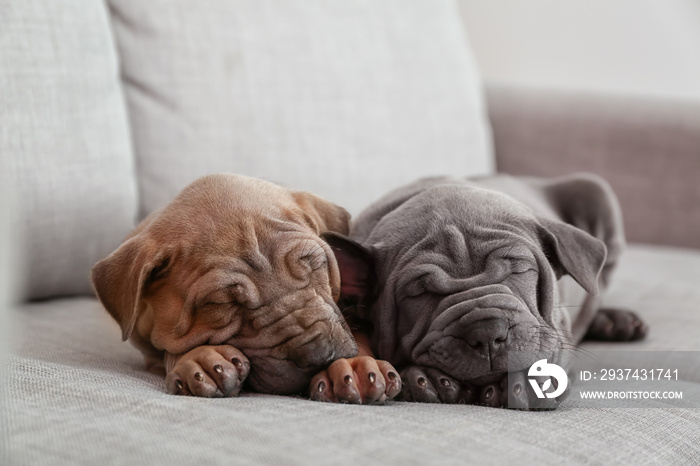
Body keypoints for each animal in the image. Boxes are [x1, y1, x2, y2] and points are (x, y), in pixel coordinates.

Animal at [324, 174, 652, 408]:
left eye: (519, 270)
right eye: (417, 293)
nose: (486, 332)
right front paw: (427, 379)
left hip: (595, 191)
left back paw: (615, 320)